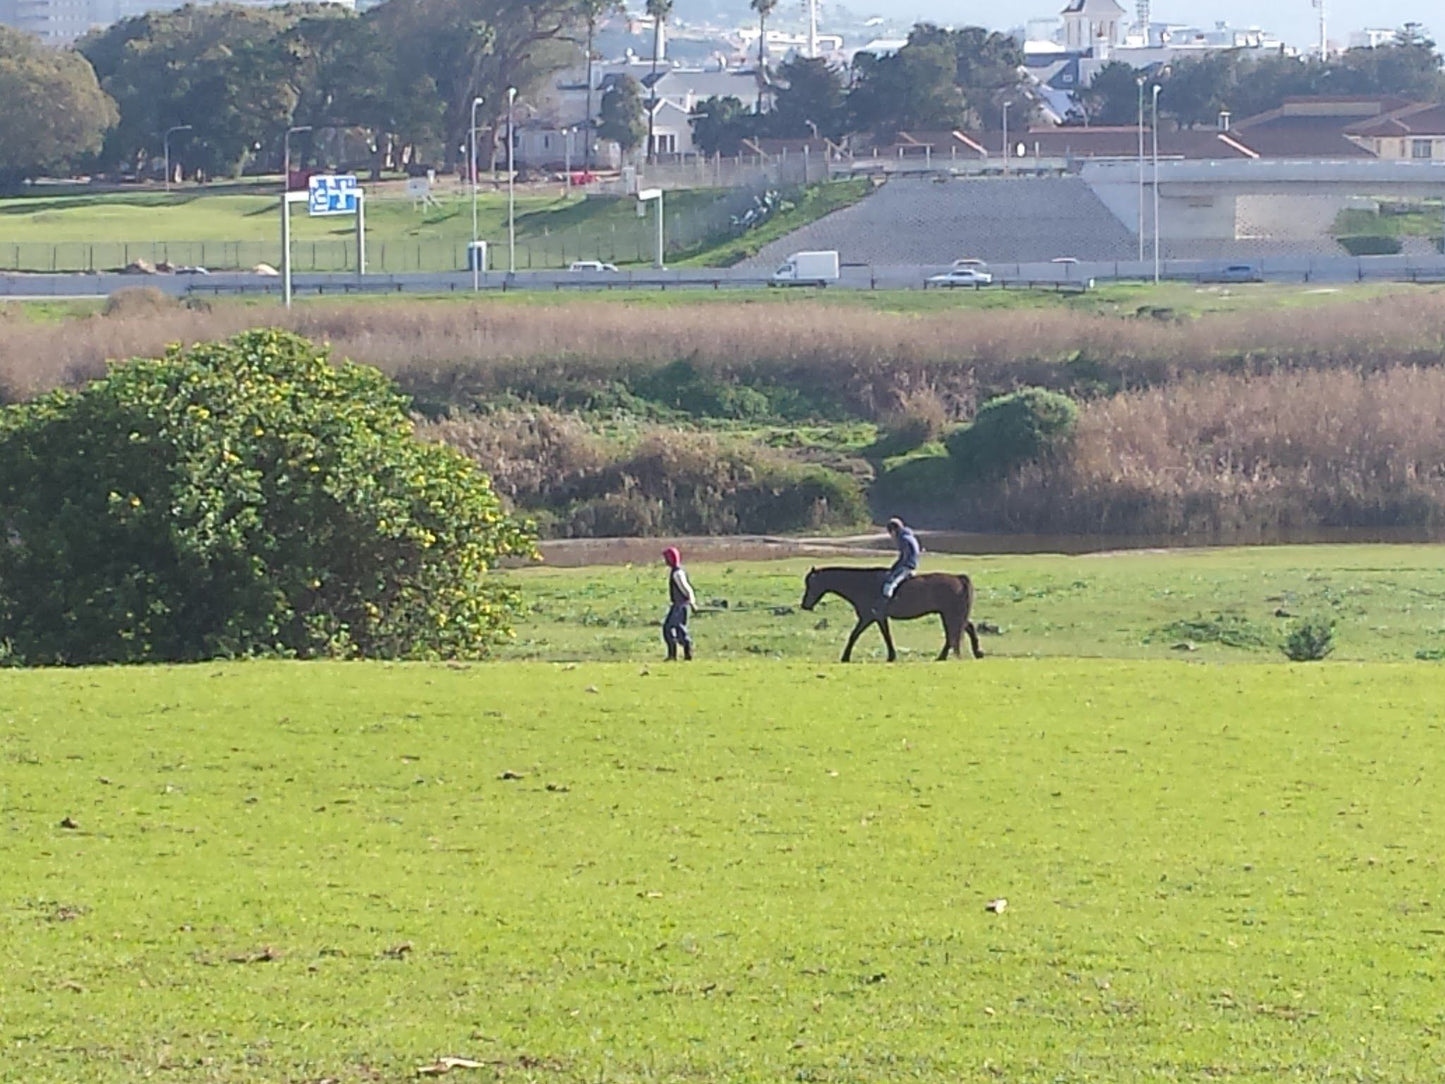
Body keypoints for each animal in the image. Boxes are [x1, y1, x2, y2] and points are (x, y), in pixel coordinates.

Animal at [797, 563, 988, 667]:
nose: (805, 605)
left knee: (953, 634)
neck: (863, 584)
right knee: (964, 630)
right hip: (951, 614)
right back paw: (974, 653)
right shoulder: (877, 618)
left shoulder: (870, 617)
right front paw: (891, 656)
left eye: (811, 583)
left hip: (950, 614)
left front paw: (845, 657)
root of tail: (959, 578)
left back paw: (944, 657)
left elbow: (856, 635)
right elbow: (884, 635)